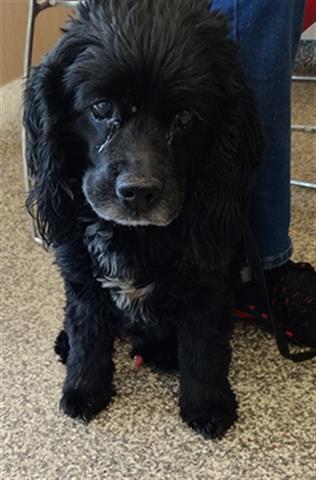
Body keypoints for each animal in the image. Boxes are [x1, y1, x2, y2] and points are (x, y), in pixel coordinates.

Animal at [24, 0, 262, 438]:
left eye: (185, 118)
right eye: (101, 108)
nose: (137, 191)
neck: (134, 237)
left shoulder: (208, 278)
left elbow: (204, 347)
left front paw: (208, 405)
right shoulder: (81, 274)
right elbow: (87, 334)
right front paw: (83, 390)